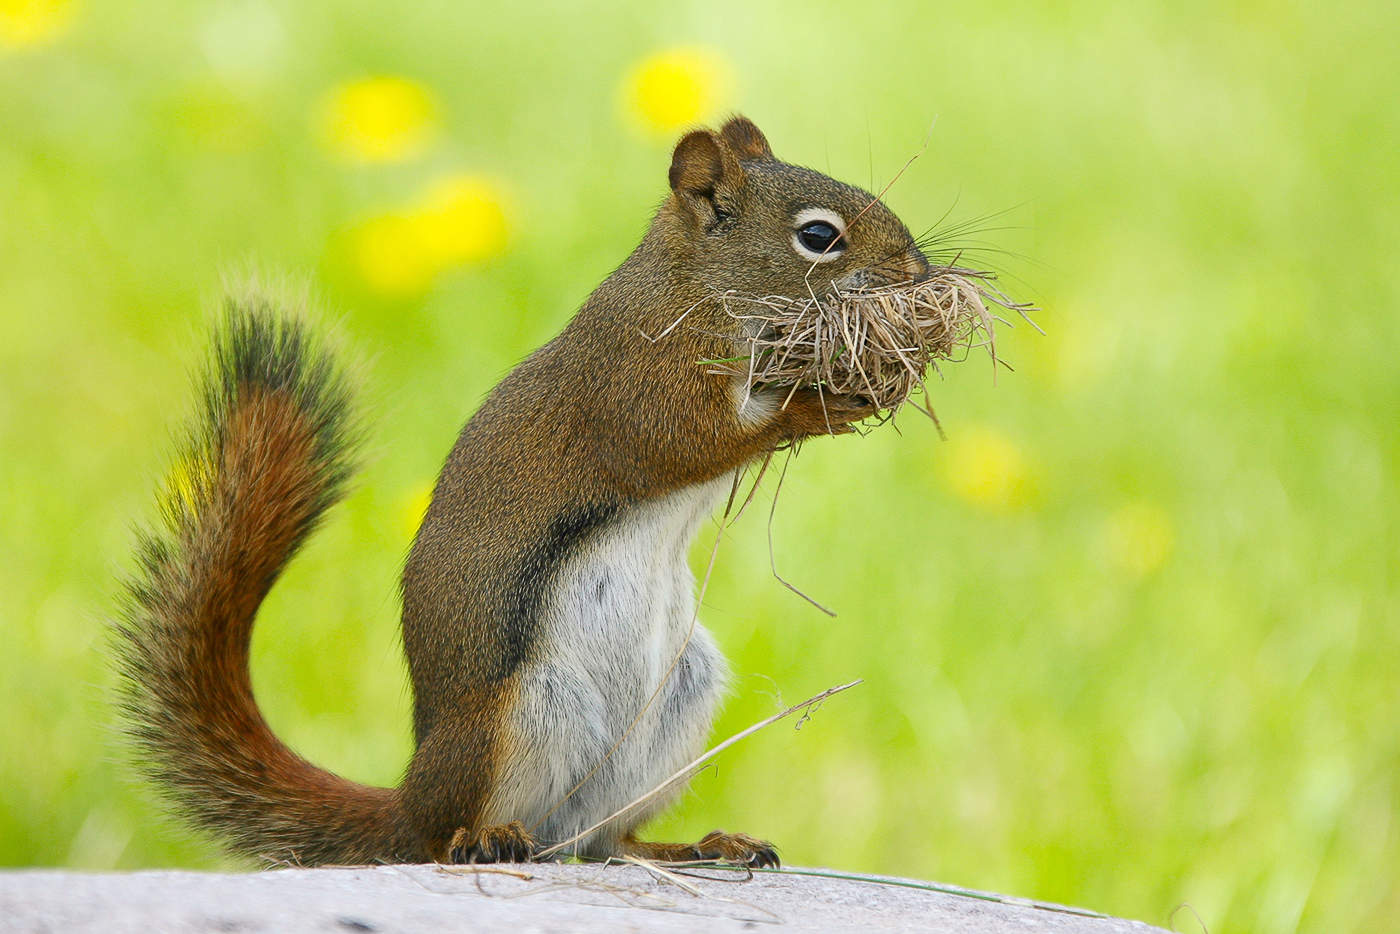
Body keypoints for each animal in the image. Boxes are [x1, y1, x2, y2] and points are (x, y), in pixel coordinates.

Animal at [117, 116, 929, 868]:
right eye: (818, 236)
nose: (917, 270)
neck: (694, 286)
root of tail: (409, 801)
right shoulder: (641, 381)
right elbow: (692, 444)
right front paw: (823, 403)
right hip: (513, 721)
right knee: (452, 837)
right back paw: (485, 838)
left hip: (676, 708)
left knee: (607, 841)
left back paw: (702, 845)